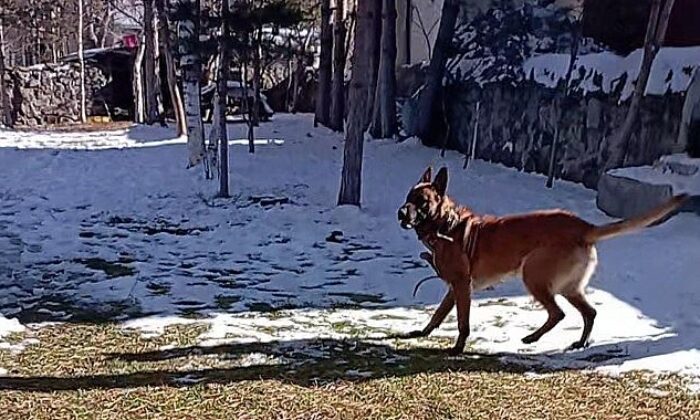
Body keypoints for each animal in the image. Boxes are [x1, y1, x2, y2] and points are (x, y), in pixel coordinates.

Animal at [396, 167, 688, 354]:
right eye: (408, 198)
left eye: (421, 202)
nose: (400, 213)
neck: (446, 226)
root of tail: (584, 227)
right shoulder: (454, 289)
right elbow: (437, 315)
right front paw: (423, 333)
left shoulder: (461, 287)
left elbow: (462, 322)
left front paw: (457, 348)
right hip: (569, 288)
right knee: (588, 312)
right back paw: (579, 343)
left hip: (533, 277)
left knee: (558, 313)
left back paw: (533, 337)